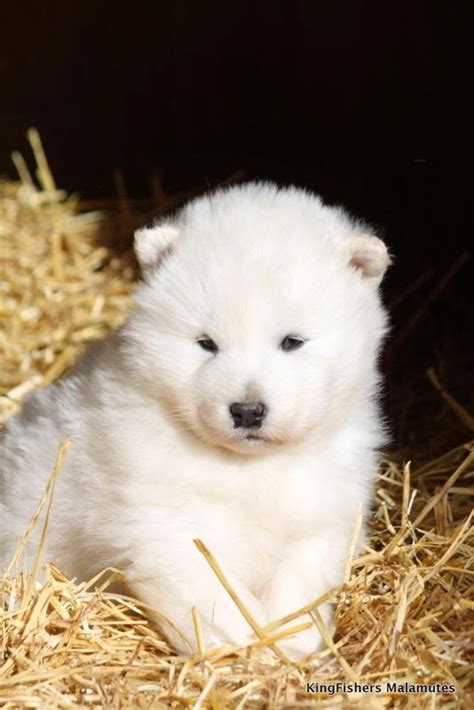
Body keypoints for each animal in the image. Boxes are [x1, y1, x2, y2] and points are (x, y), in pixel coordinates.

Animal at [0, 184, 388, 660]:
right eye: (207, 344)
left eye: (292, 342)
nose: (247, 410)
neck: (251, 469)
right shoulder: (168, 534)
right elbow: (218, 604)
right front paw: (249, 651)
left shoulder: (321, 524)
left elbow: (299, 591)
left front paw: (291, 647)